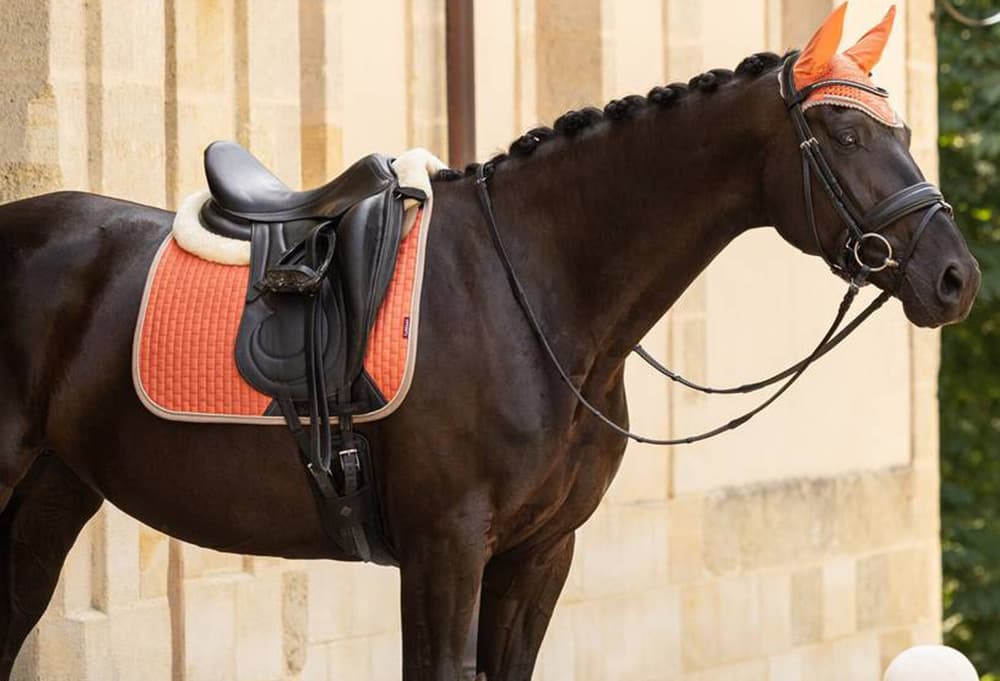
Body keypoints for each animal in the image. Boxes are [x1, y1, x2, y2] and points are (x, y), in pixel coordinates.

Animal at [0, 14, 980, 681]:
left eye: (900, 131)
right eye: (847, 134)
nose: (957, 277)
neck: (541, 295)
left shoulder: (539, 553)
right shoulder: (447, 548)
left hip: (55, 489)